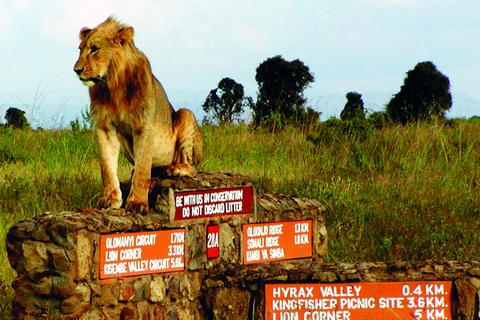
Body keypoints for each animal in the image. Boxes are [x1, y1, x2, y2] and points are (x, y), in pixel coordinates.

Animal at [73, 16, 204, 214]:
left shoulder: (144, 125)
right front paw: (110, 199)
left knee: (192, 168)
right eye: (80, 49)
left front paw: (137, 203)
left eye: (95, 49)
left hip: (185, 114)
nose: (77, 70)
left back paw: (172, 169)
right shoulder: (104, 126)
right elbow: (106, 166)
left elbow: (143, 169)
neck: (113, 83)